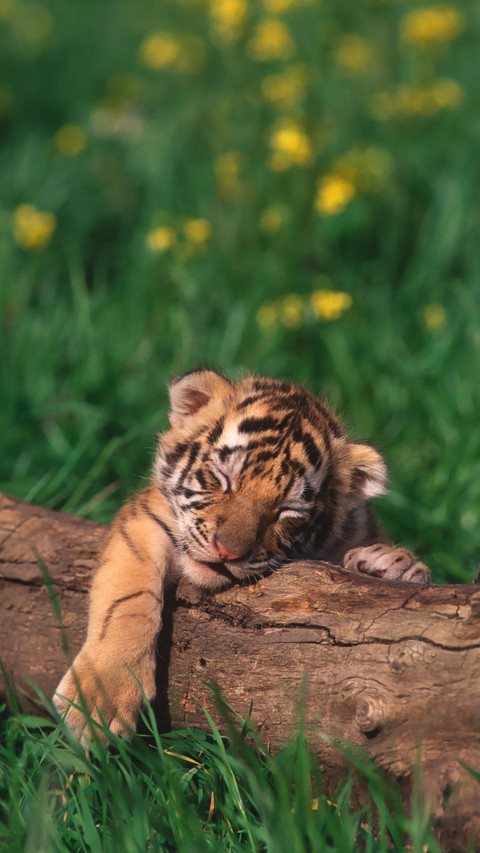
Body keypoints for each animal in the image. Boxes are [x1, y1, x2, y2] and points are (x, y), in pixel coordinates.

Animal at [54, 369, 430, 743]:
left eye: (289, 510)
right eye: (223, 478)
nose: (228, 551)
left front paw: (391, 564)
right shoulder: (146, 519)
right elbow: (126, 596)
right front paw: (98, 703)